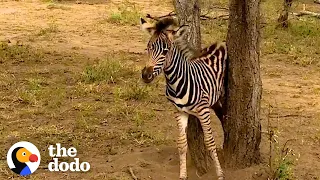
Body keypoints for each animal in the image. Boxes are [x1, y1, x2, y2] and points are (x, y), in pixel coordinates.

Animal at [140, 16, 228, 180]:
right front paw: (182, 175)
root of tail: (221, 43)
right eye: (148, 47)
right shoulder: (179, 111)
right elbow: (181, 144)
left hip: (220, 99)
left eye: (165, 51)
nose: (146, 75)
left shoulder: (203, 111)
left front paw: (220, 174)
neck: (176, 82)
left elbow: (210, 142)